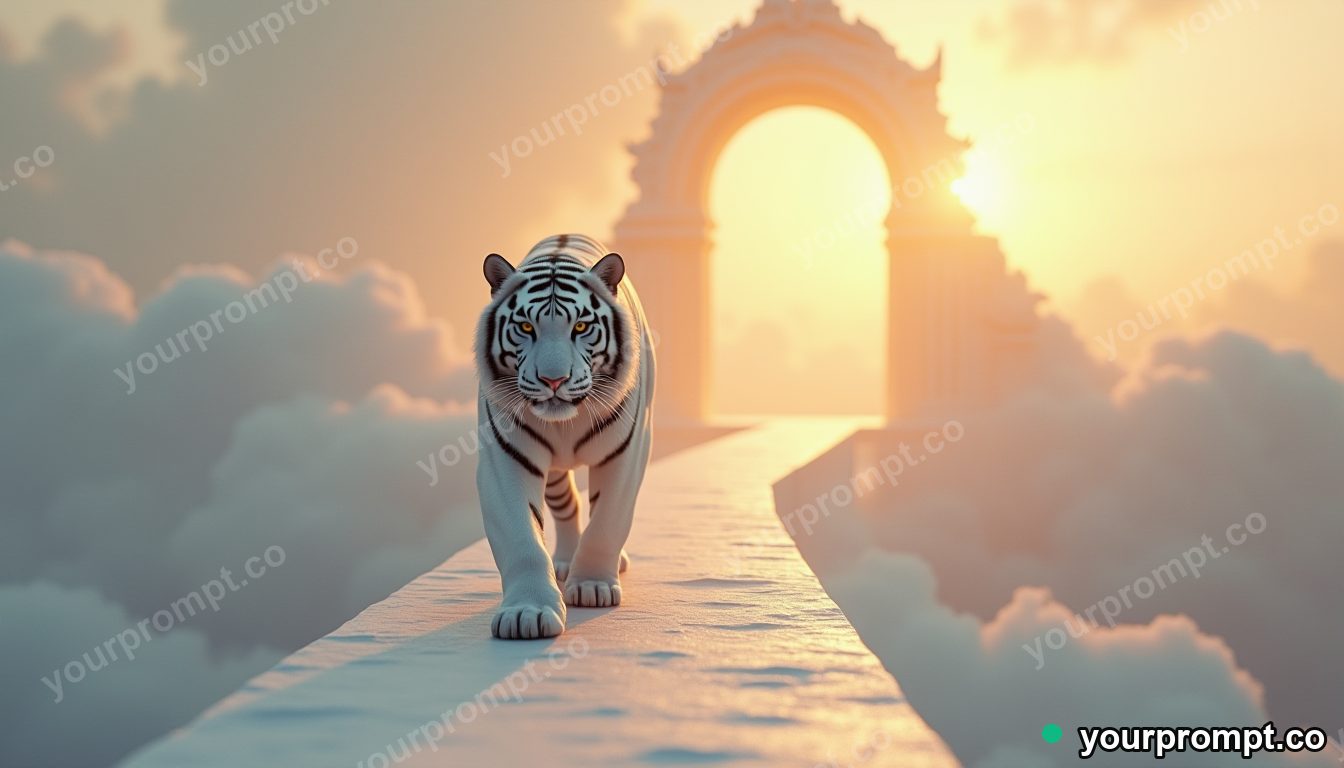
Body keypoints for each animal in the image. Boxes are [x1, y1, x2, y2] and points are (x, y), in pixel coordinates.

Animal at [474, 233, 655, 639]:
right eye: (526, 328)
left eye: (582, 328)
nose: (553, 380)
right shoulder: (505, 455)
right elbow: (521, 537)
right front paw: (526, 613)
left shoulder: (627, 450)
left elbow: (608, 520)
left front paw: (592, 585)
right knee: (567, 504)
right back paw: (564, 561)